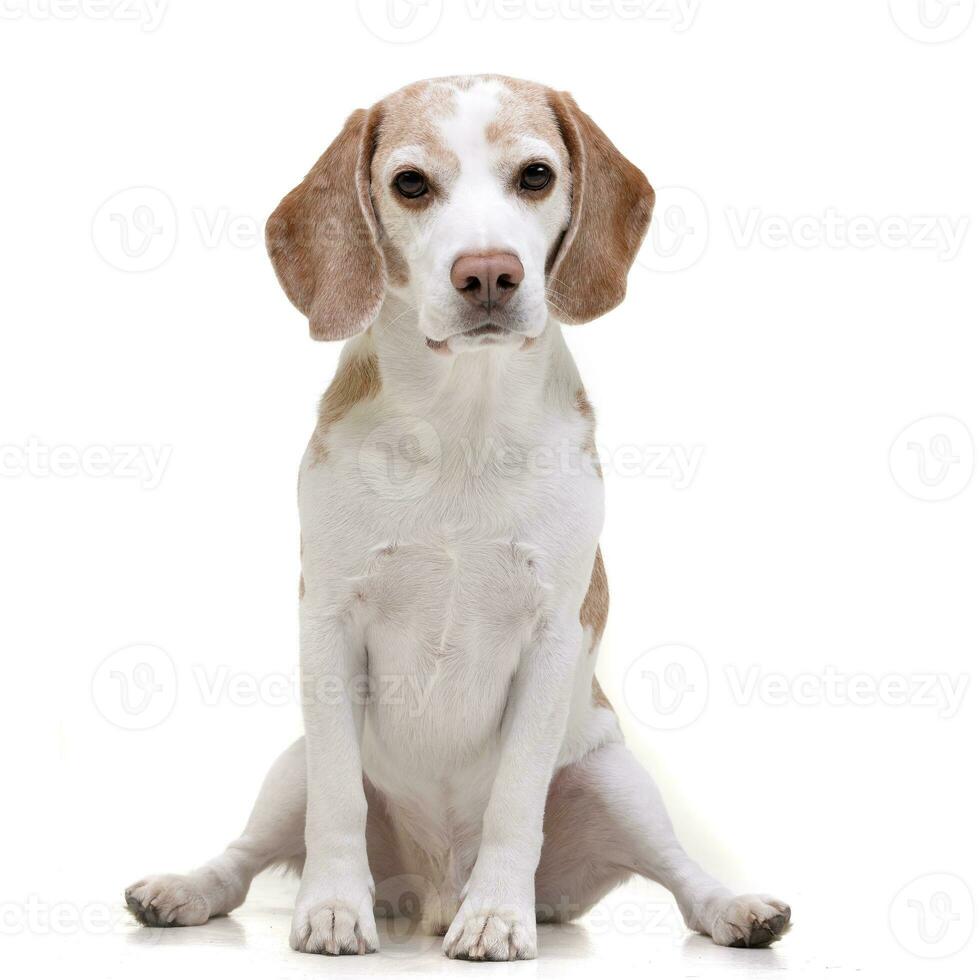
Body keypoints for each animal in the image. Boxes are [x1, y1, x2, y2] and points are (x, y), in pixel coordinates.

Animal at [126, 72, 792, 960]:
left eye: (537, 175)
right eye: (411, 183)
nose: (487, 274)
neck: (462, 426)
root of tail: (432, 890)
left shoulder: (552, 639)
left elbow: (516, 802)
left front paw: (499, 915)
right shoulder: (327, 627)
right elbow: (337, 805)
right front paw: (332, 908)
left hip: (615, 778)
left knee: (682, 877)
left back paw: (734, 910)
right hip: (290, 767)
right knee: (242, 860)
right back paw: (184, 891)